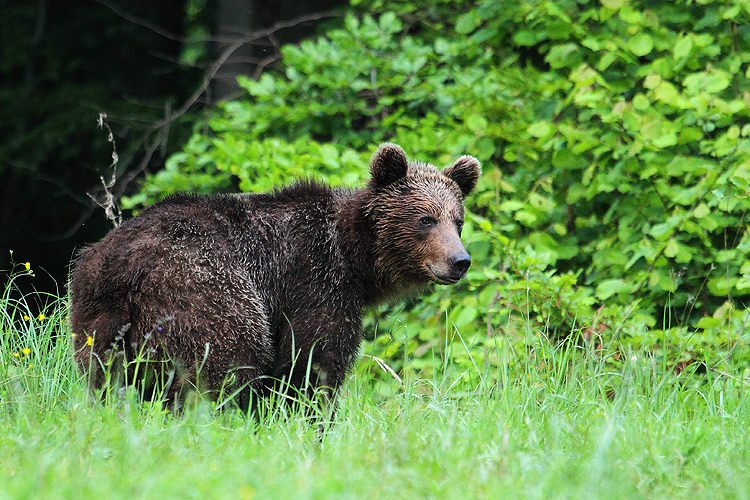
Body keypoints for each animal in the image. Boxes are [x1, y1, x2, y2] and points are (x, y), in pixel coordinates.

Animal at [70, 143, 482, 416]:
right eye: (426, 219)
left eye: (458, 220)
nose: (459, 261)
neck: (353, 256)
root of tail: (123, 268)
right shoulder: (314, 280)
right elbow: (312, 362)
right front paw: (308, 419)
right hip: (202, 286)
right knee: (227, 357)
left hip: (96, 314)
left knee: (105, 378)